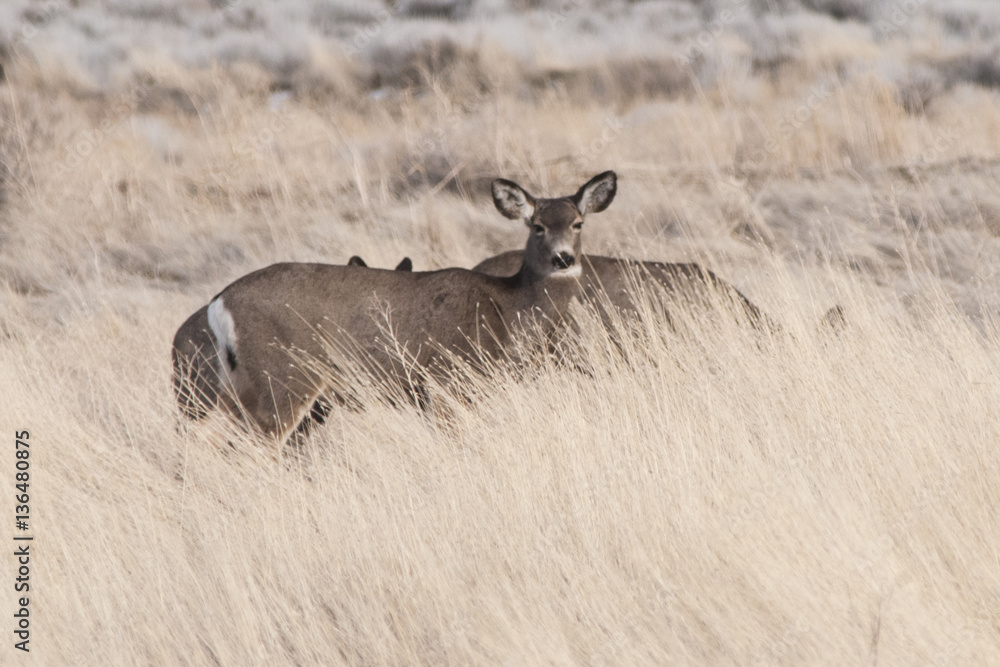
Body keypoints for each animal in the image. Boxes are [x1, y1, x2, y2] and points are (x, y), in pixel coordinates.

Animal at [171, 171, 618, 443]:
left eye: (578, 223)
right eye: (537, 226)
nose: (563, 258)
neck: (506, 310)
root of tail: (219, 303)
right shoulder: (445, 380)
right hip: (285, 376)